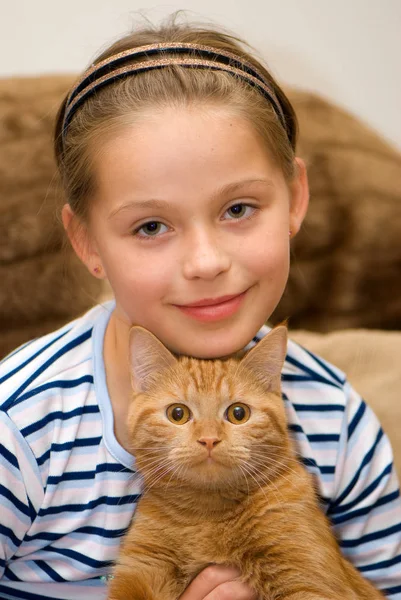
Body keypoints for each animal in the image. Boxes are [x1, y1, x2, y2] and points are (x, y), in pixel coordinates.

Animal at [108, 326, 382, 596]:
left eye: (238, 413)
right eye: (178, 414)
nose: (209, 439)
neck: (207, 513)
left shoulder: (306, 580)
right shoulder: (143, 566)